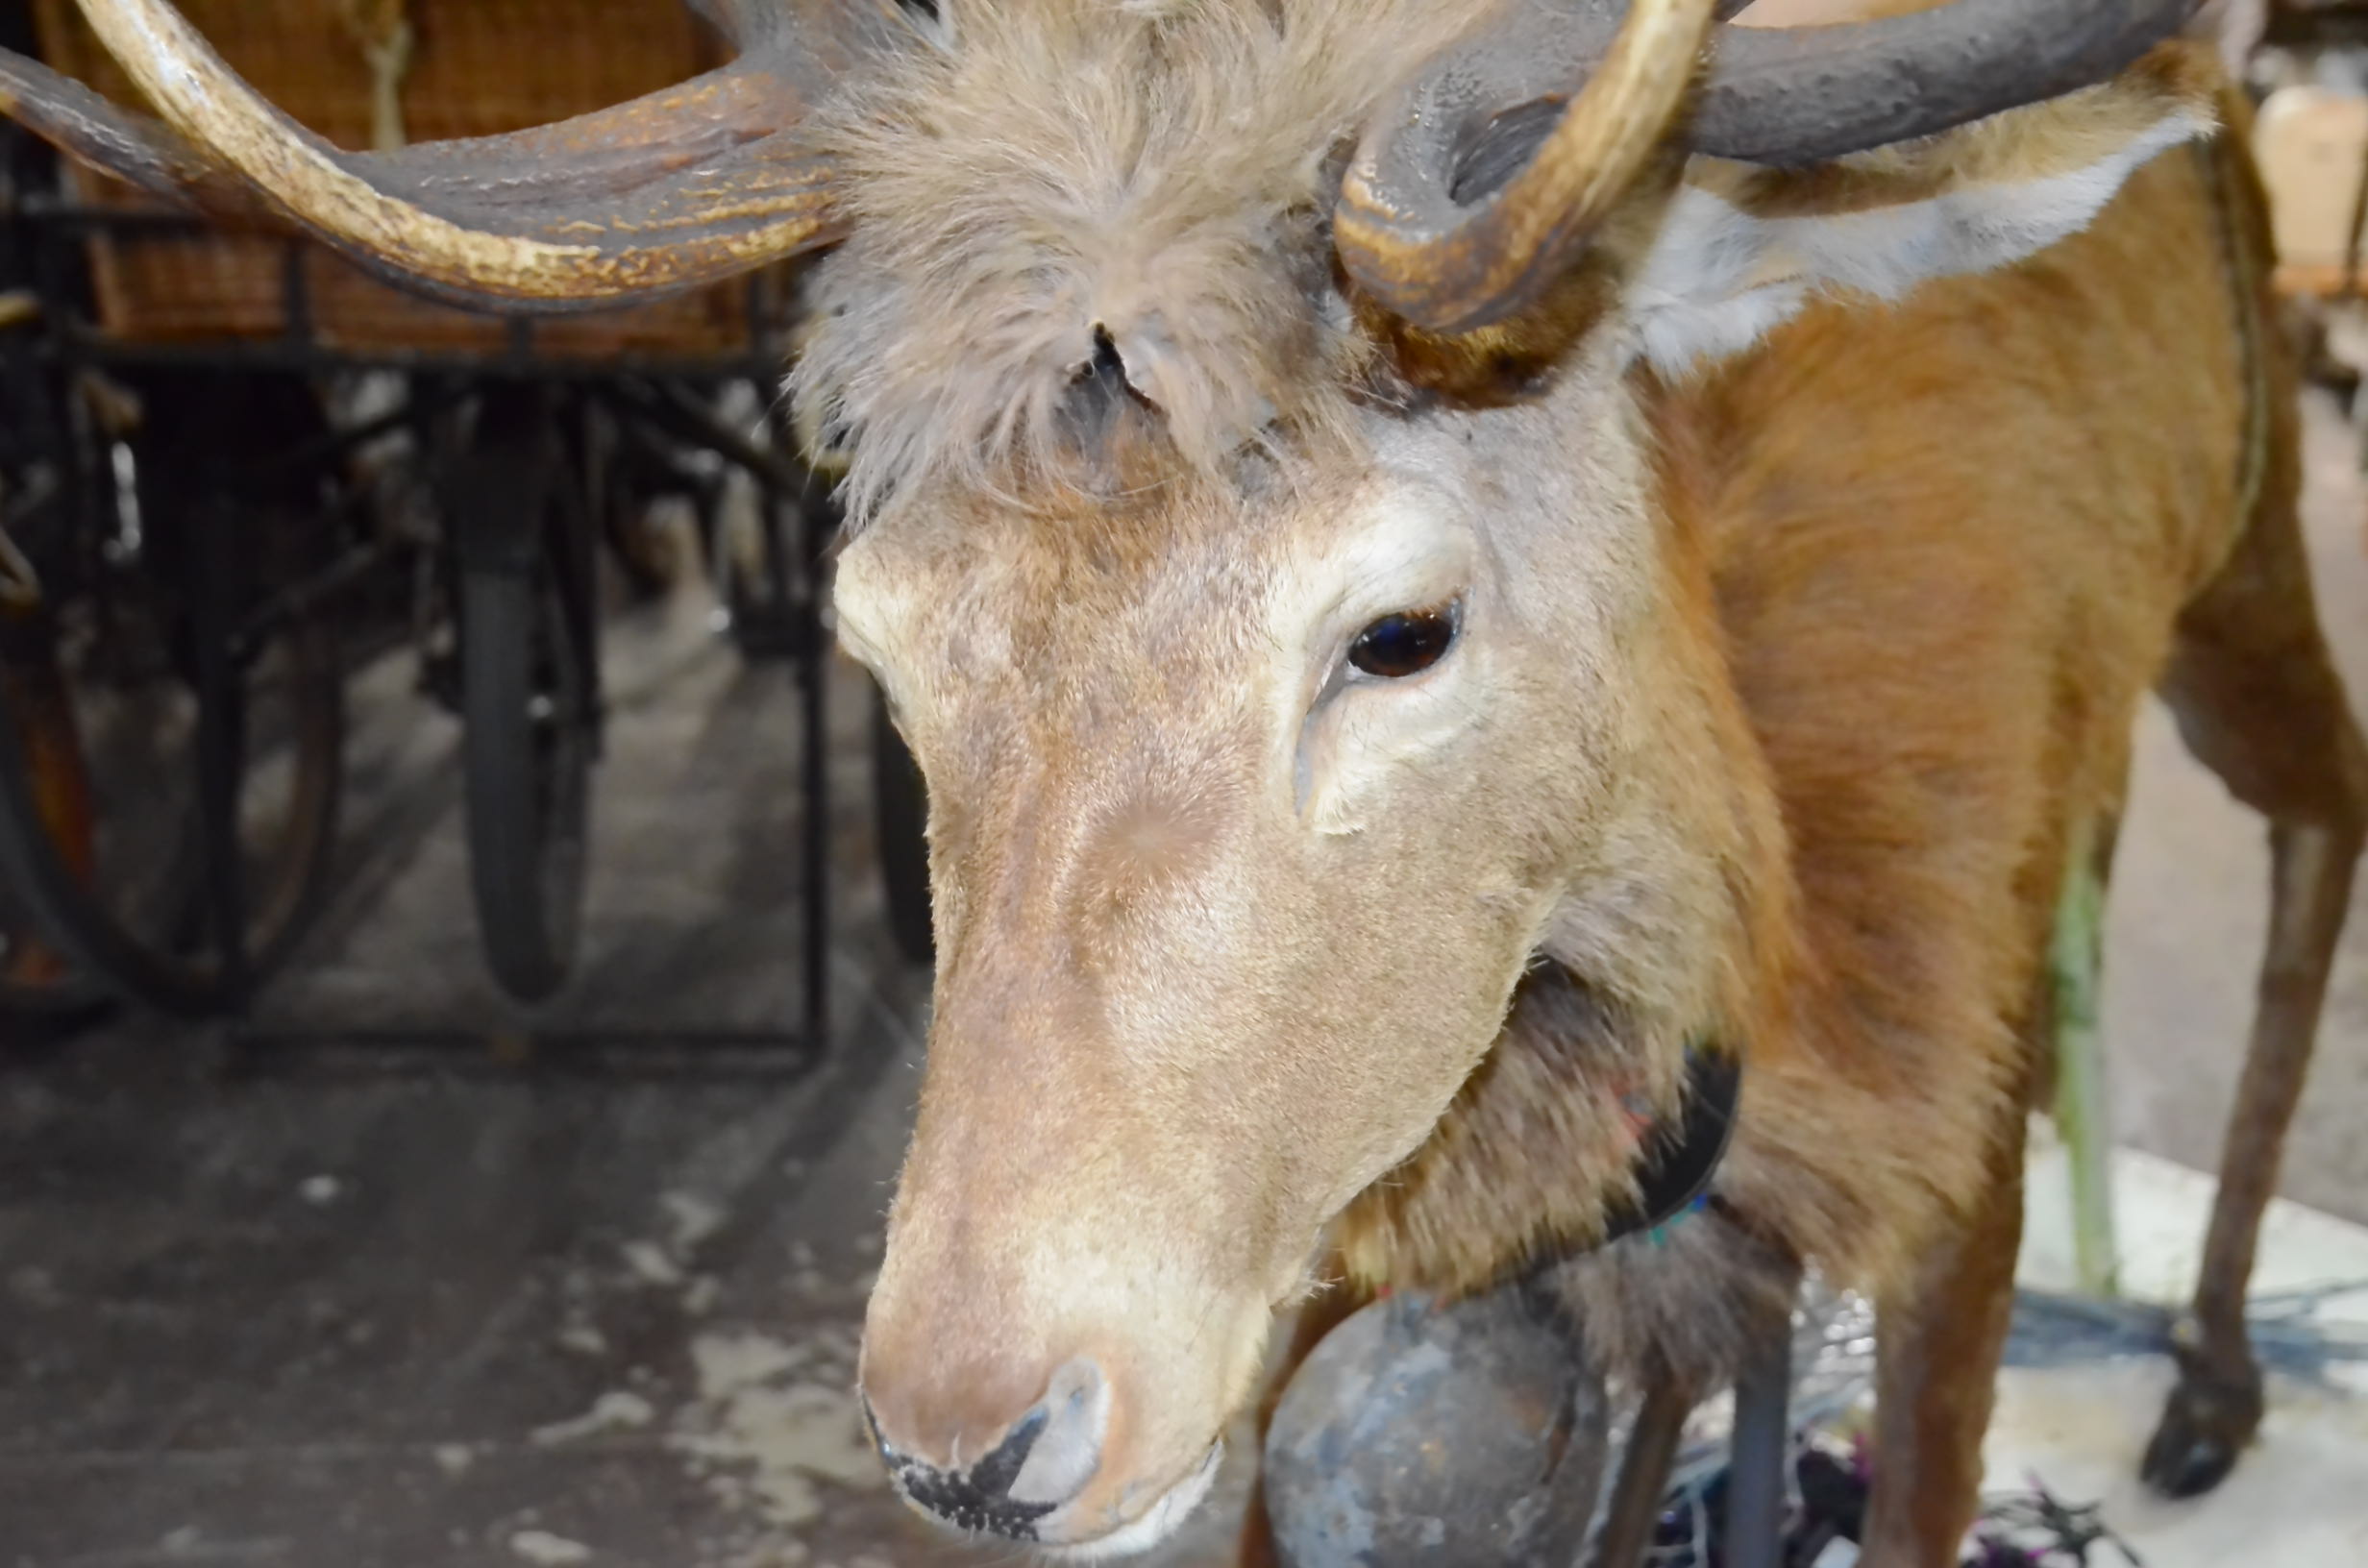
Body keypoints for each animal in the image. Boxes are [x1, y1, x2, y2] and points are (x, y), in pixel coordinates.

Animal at [3, 0, 2357, 1562]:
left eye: (1397, 629)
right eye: (877, 623)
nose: (972, 1433)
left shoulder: (1943, 1198)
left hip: (2240, 561)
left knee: (2315, 809)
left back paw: (2214, 1378)